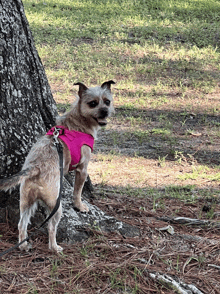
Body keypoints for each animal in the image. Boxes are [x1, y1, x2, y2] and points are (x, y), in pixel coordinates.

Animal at [0, 80, 116, 253]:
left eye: (107, 101)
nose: (105, 111)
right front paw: (80, 206)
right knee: (51, 228)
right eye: (93, 103)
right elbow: (77, 191)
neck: (79, 122)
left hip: (27, 202)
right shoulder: (82, 169)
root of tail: (35, 168)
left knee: (22, 224)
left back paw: (24, 245)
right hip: (56, 205)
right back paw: (54, 248)